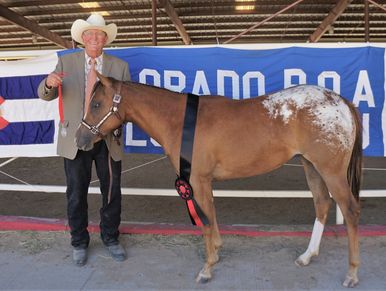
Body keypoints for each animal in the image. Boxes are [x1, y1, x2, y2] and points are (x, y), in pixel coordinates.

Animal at [74, 73, 362, 290]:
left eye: (96, 104)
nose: (79, 139)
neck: (182, 121)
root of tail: (341, 102)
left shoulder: (197, 181)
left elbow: (205, 222)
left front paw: (207, 268)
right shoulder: (203, 182)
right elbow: (211, 216)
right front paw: (217, 251)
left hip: (331, 171)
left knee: (349, 210)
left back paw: (352, 273)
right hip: (311, 166)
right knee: (322, 204)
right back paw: (307, 256)